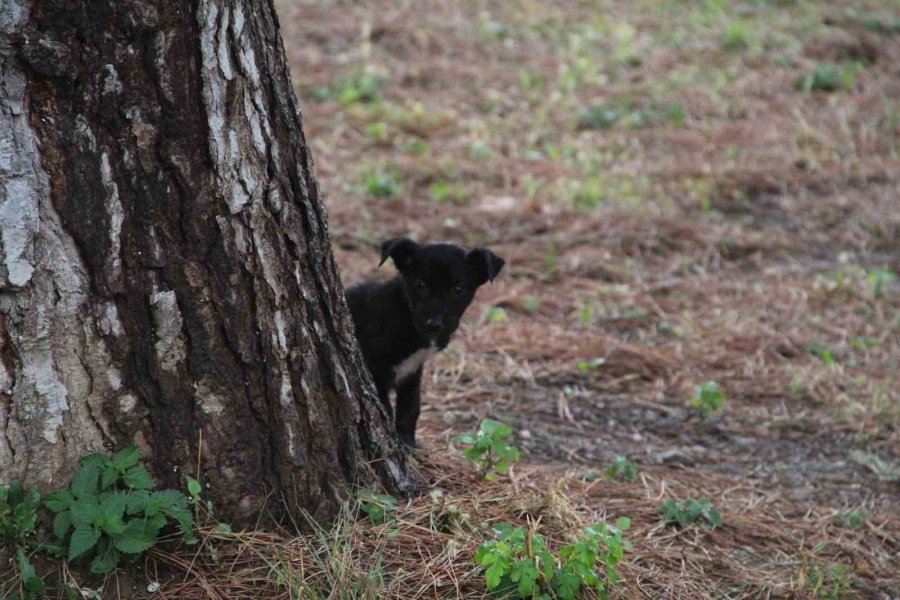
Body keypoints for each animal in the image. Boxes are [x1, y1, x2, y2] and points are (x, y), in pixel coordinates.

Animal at [346, 238, 502, 446]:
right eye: (420, 284)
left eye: (458, 289)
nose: (433, 325)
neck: (405, 314)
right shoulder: (374, 367)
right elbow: (384, 407)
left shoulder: (413, 370)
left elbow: (410, 408)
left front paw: (408, 443)